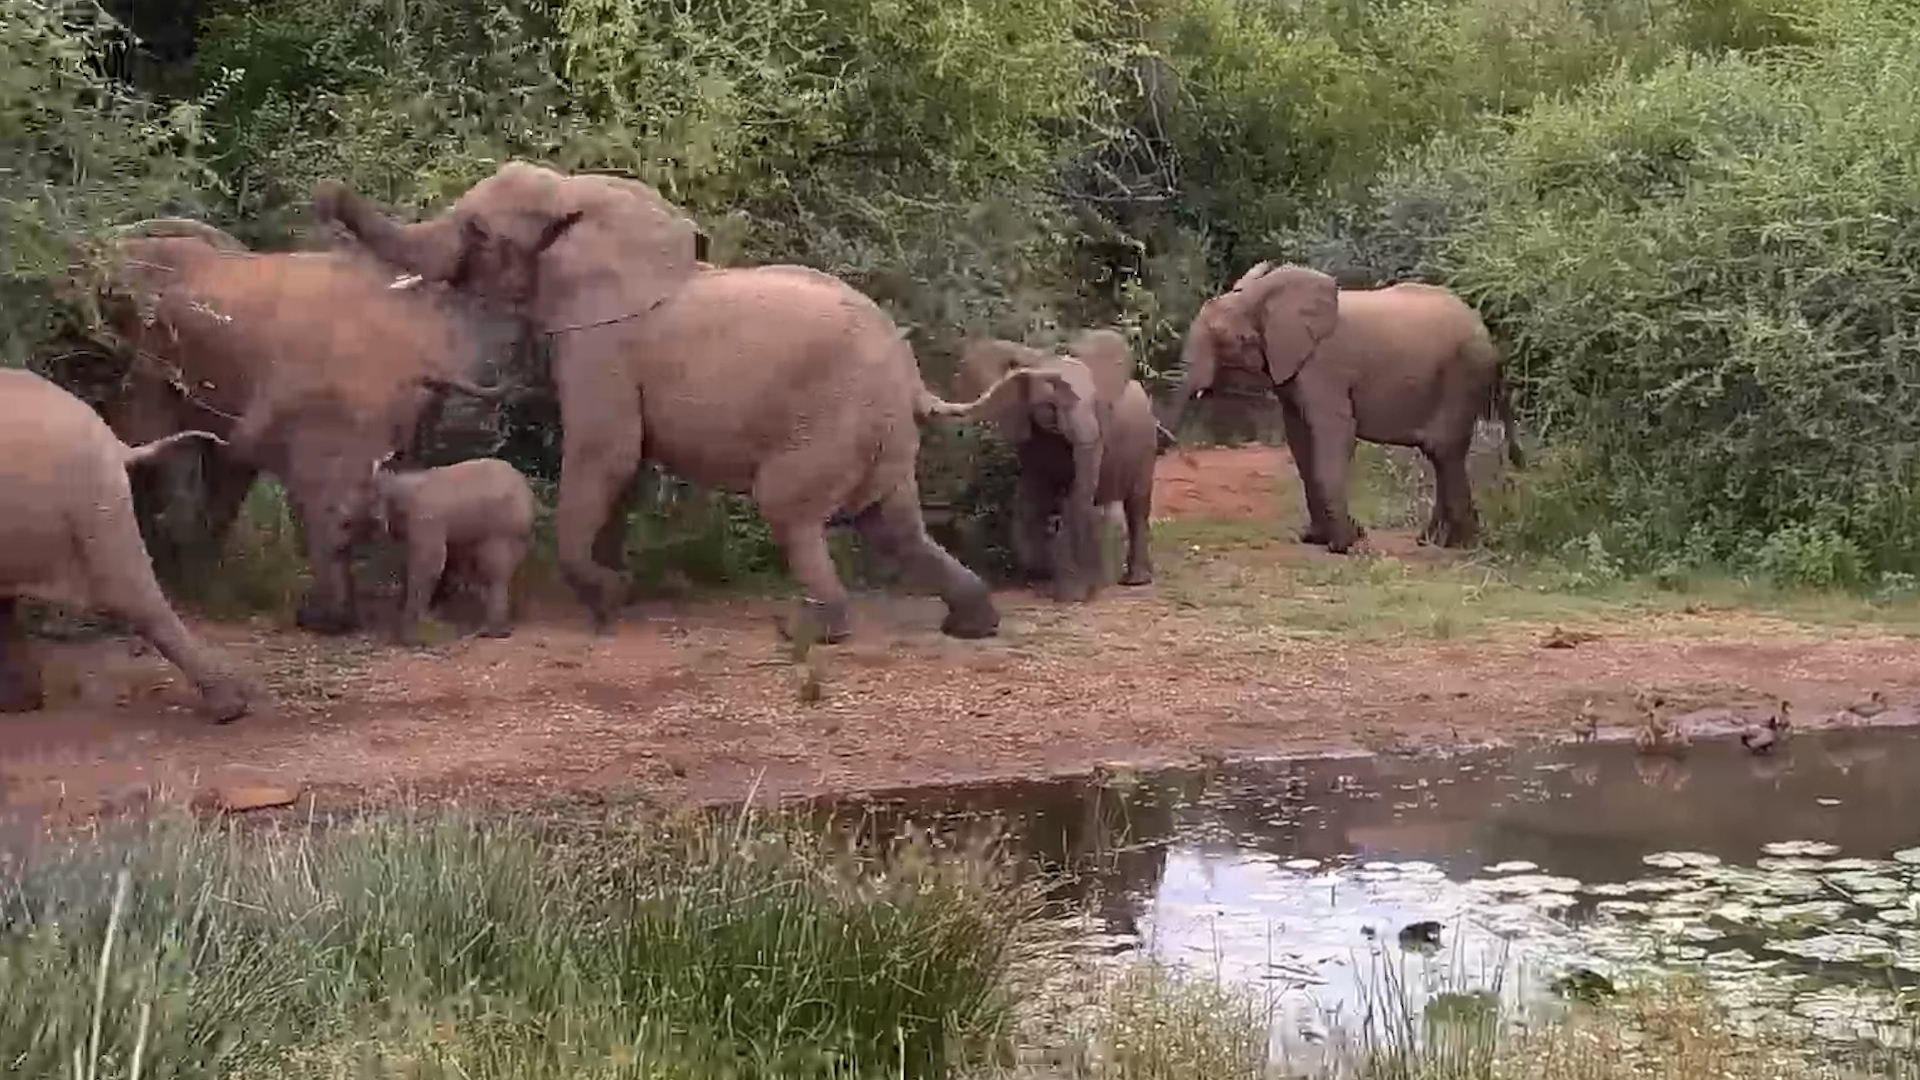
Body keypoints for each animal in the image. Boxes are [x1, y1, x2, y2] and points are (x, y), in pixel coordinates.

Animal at [370, 456, 536, 643]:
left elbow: (430, 563)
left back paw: (494, 632)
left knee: (494, 572)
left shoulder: (427, 516)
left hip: (502, 526)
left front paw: (413, 631)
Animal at [945, 329, 1169, 601]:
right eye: (1050, 406)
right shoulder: (1030, 434)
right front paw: (1041, 573)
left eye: (1097, 403)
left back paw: (1135, 581)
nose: (1090, 592)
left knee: (1136, 504)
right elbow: (1032, 496)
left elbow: (1074, 498)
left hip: (1146, 445)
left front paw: (1070, 593)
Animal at [1166, 262, 1524, 552]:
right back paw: (1435, 541)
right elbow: (1300, 439)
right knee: (1442, 455)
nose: (1189, 460)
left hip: (1463, 374)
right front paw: (1318, 539)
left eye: (1227, 339)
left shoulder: (1324, 367)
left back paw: (1455, 544)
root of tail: (1488, 336)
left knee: (1444, 450)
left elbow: (1333, 432)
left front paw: (1344, 544)